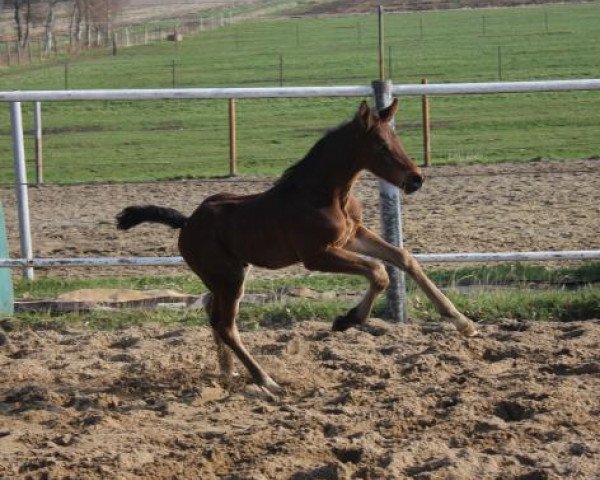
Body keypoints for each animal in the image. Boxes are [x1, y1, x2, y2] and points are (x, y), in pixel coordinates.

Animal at [117, 100, 476, 394]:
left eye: (397, 139)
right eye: (381, 145)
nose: (415, 179)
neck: (324, 194)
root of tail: (187, 222)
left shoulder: (353, 235)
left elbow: (403, 258)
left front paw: (463, 323)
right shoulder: (317, 255)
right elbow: (378, 272)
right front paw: (346, 320)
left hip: (226, 277)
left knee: (211, 313)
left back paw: (229, 372)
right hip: (229, 277)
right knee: (225, 323)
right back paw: (266, 381)